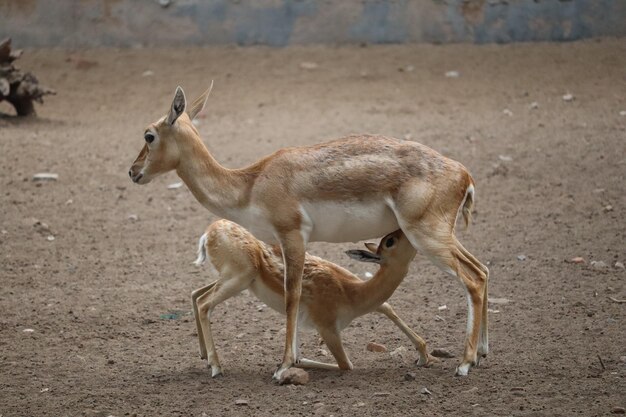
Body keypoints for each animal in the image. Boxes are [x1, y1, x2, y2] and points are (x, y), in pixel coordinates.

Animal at [191, 219, 434, 376]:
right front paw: (287, 366)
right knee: (204, 304)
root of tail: (210, 231)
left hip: (234, 279)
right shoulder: (327, 327)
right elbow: (346, 364)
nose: (410, 229)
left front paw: (424, 357)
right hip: (240, 278)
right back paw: (216, 367)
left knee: (196, 293)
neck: (351, 293)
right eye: (390, 240)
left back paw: (204, 357)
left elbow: (388, 307)